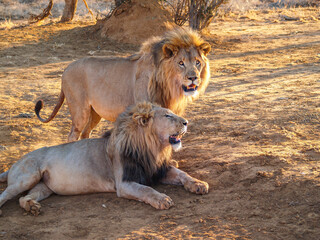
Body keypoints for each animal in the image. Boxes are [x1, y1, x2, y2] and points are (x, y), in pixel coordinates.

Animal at [0, 101, 208, 216]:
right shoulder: (124, 183)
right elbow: (146, 189)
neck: (152, 147)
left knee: (24, 198)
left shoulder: (157, 170)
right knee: (5, 194)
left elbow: (182, 174)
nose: (186, 122)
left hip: (44, 187)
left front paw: (198, 184)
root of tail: (15, 163)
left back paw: (32, 207)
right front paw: (162, 199)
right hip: (28, 176)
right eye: (167, 116)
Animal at [35, 27, 211, 142]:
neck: (169, 86)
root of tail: (66, 69)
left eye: (197, 62)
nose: (193, 78)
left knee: (85, 133)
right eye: (181, 63)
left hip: (95, 113)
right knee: (73, 135)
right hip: (80, 111)